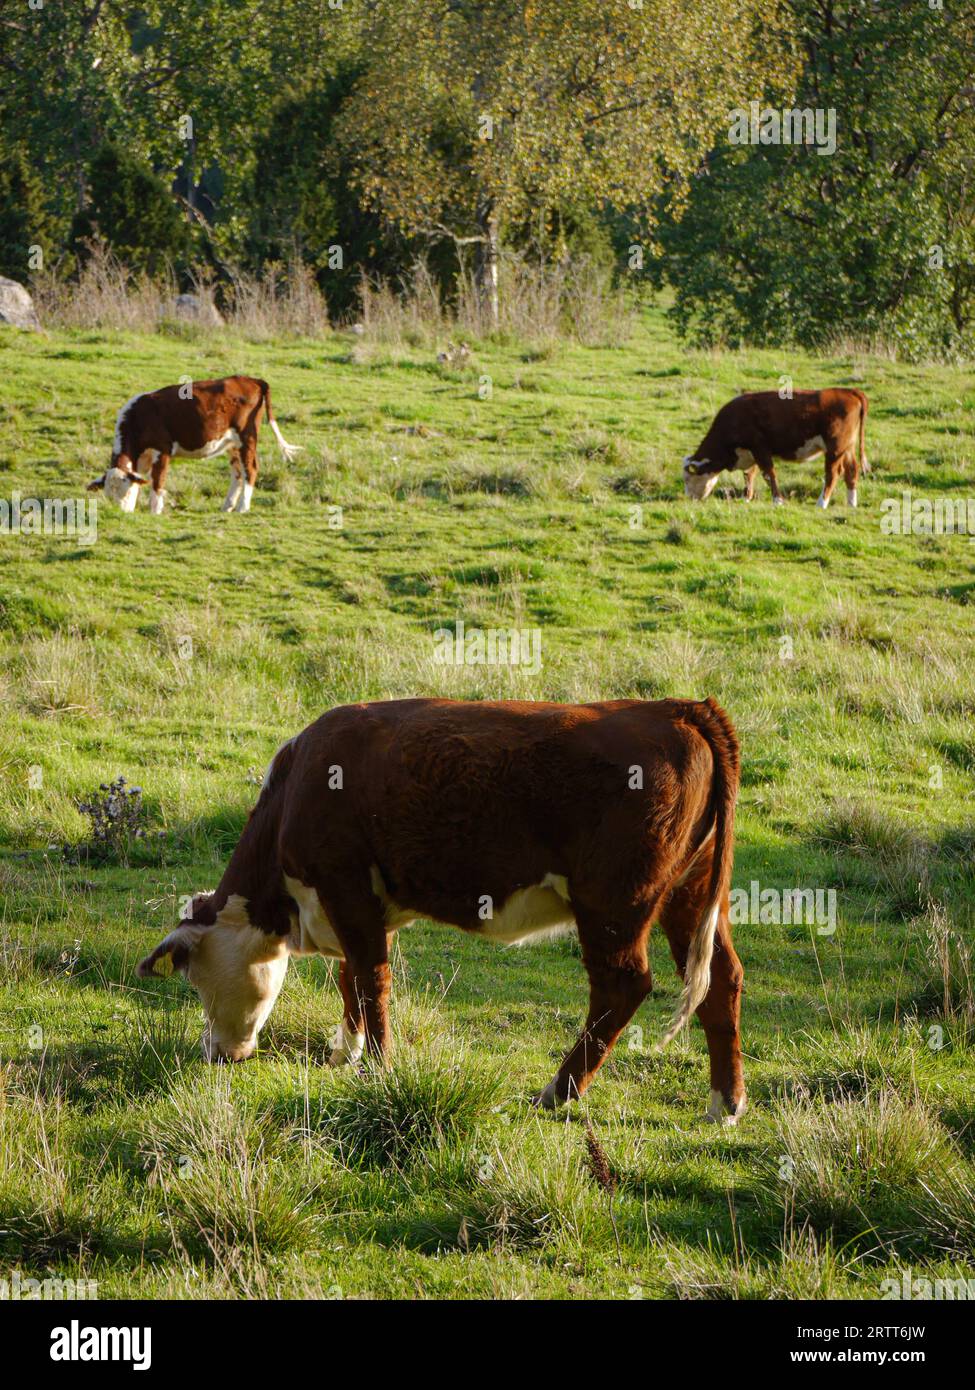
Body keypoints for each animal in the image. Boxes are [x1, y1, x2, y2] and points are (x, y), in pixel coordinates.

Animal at [87, 376, 301, 515]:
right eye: (108, 494)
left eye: (126, 491)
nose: (119, 513)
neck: (137, 419)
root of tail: (251, 379)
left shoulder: (162, 450)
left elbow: (157, 481)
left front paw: (155, 510)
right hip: (231, 443)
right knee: (238, 473)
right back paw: (228, 505)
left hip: (246, 437)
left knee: (251, 469)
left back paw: (242, 507)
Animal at [137, 696, 745, 1122]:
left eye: (195, 980)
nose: (216, 1054)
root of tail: (676, 708)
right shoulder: (360, 907)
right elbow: (350, 978)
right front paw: (345, 1053)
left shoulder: (344, 886)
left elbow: (370, 981)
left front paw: (378, 1068)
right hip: (690, 894)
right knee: (722, 979)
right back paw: (725, 1104)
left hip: (613, 901)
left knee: (622, 986)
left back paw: (556, 1092)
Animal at [682, 388, 869, 508]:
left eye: (687, 479)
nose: (689, 498)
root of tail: (848, 391)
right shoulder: (751, 453)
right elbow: (749, 475)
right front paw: (746, 498)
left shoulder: (759, 448)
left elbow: (768, 474)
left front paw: (777, 500)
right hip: (848, 448)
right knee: (851, 471)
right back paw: (851, 503)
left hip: (835, 448)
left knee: (833, 474)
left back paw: (821, 503)